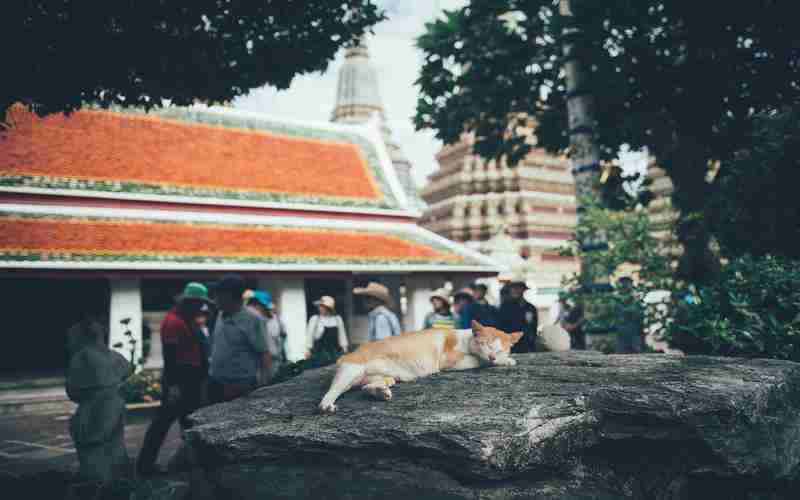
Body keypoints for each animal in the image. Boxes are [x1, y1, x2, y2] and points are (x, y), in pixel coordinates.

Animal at [320, 322, 524, 412]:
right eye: (486, 345)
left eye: (500, 349)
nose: (493, 356)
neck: (466, 339)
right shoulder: (448, 360)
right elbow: (478, 360)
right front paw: (505, 361)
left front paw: (505, 359)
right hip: (352, 369)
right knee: (333, 391)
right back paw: (327, 403)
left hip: (385, 377)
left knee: (368, 386)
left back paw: (380, 392)